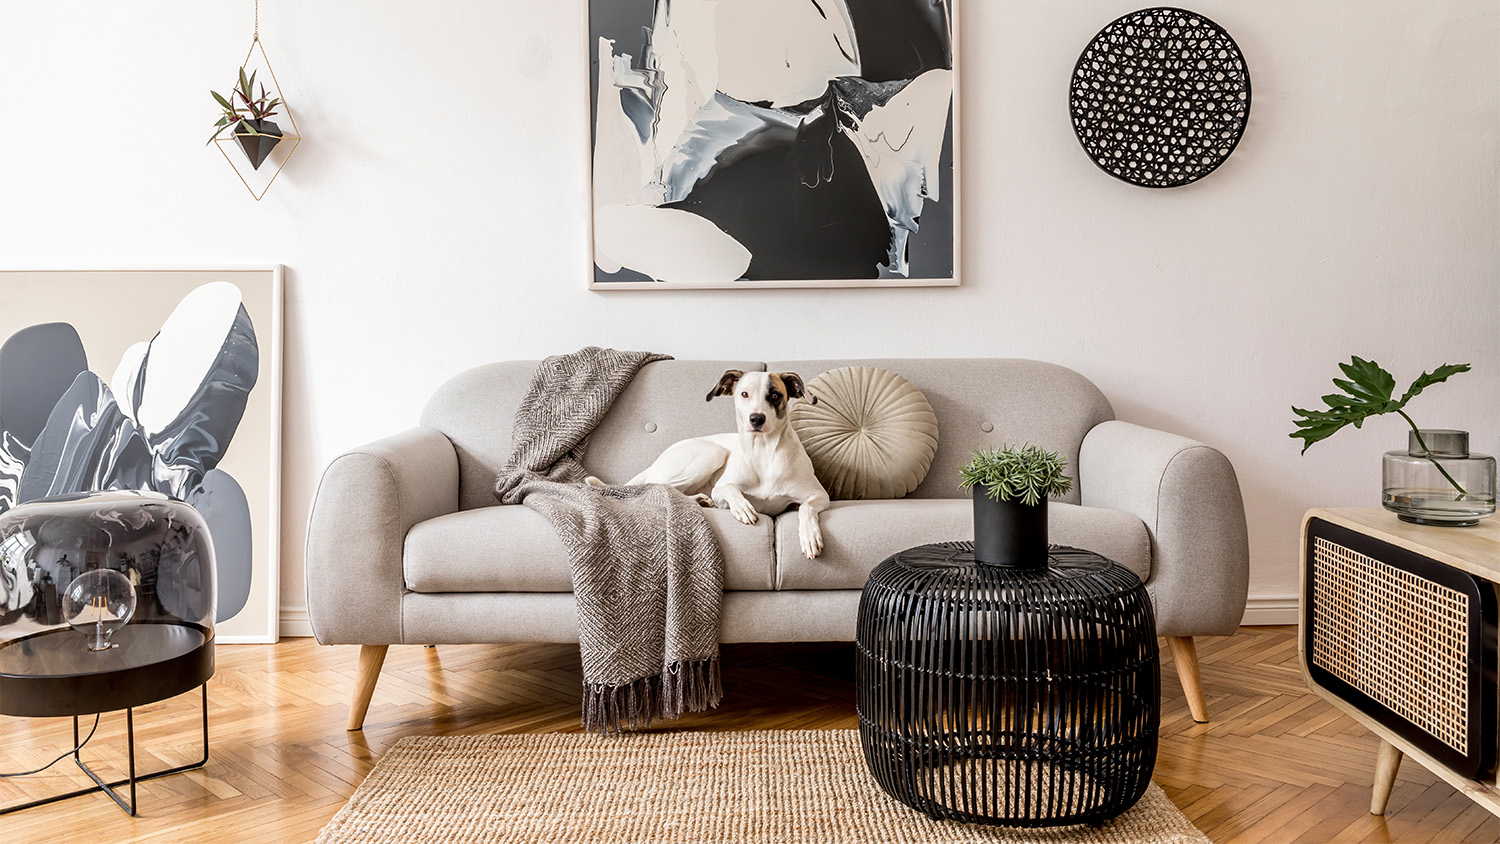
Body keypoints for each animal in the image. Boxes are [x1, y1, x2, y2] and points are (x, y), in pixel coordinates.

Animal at [588, 371, 834, 557]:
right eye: (744, 394)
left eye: (774, 395)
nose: (756, 419)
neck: (763, 451)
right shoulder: (721, 488)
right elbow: (731, 489)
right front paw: (742, 507)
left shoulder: (819, 495)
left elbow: (805, 508)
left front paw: (810, 536)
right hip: (712, 454)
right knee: (658, 488)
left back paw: (700, 500)